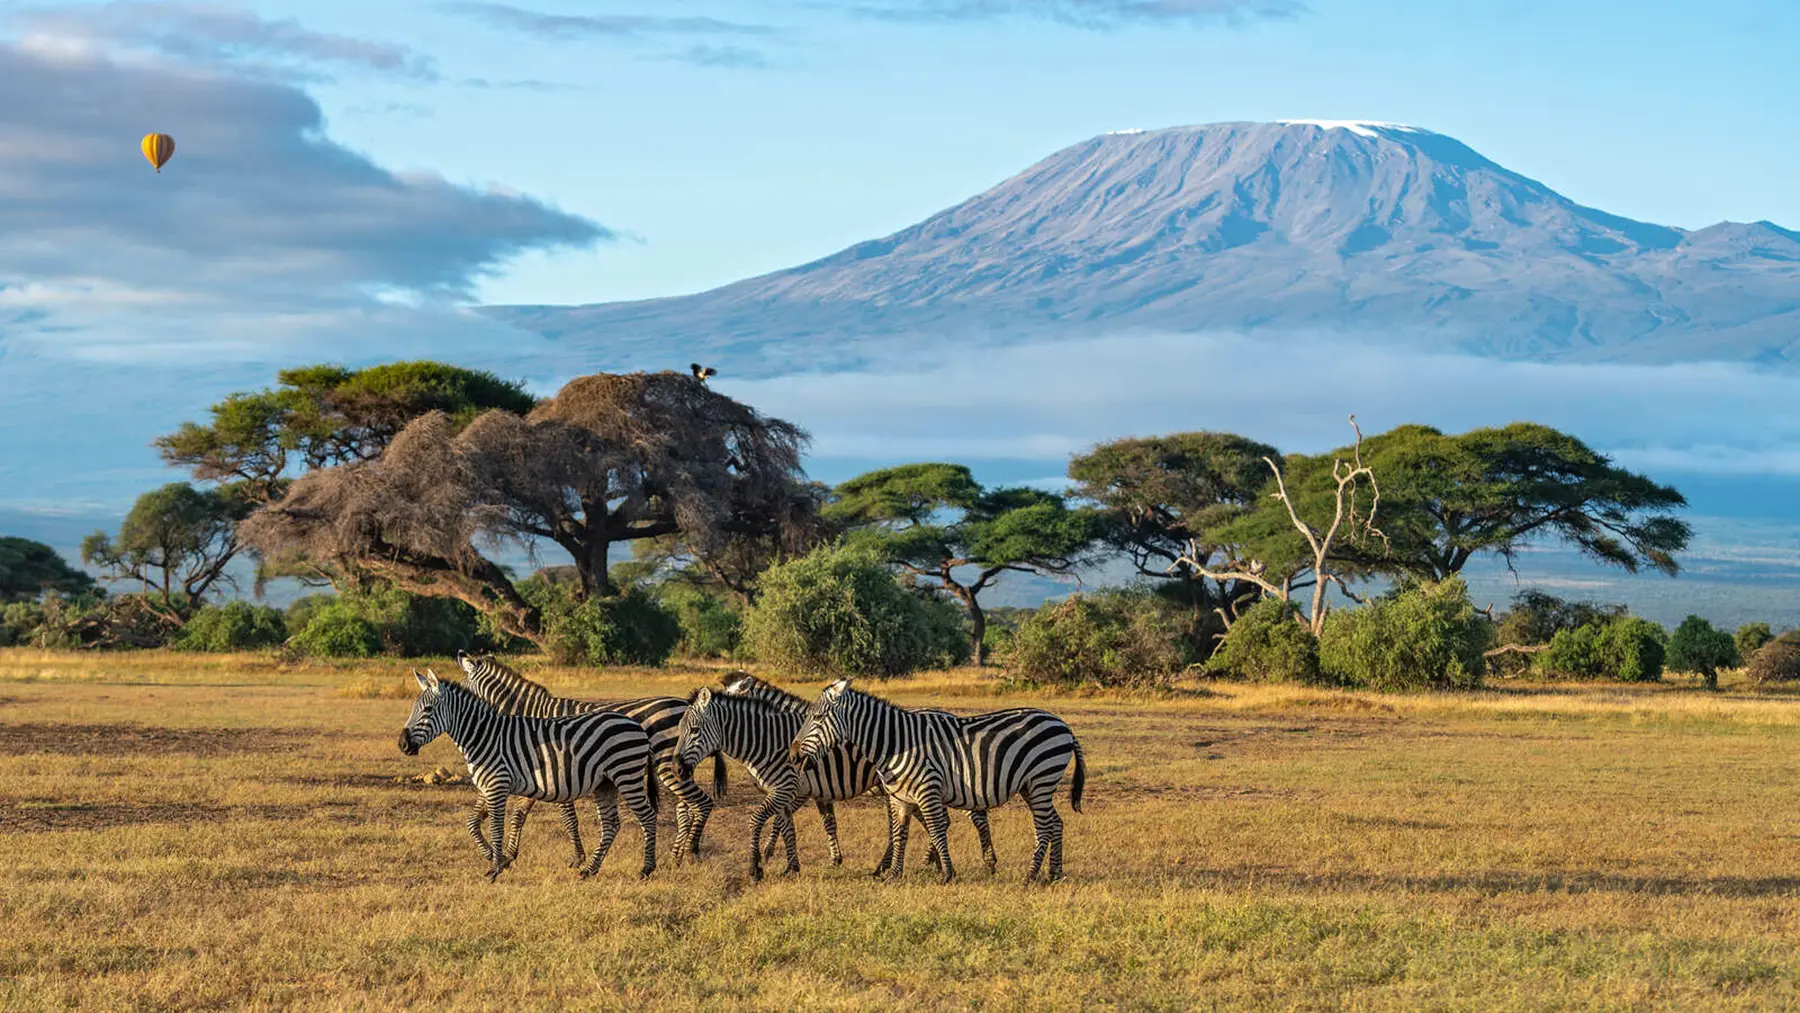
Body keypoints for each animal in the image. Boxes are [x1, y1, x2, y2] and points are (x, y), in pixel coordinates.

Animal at [397, 669, 659, 880]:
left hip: (626, 775)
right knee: (611, 824)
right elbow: (472, 823)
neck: (485, 736)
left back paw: (646, 869)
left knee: (647, 816)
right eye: (413, 709)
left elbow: (496, 827)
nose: (402, 744)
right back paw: (590, 870)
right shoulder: (487, 785)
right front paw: (495, 858)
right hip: (605, 783)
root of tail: (636, 725)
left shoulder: (497, 785)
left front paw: (495, 868)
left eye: (428, 710)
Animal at [454, 651, 722, 867]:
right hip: (675, 767)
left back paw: (688, 853)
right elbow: (508, 814)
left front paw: (578, 858)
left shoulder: (556, 772)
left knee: (699, 804)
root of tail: (685, 704)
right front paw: (503, 855)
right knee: (686, 809)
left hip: (667, 766)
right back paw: (676, 857)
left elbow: (568, 819)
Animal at [716, 671, 1000, 877]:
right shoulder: (819, 791)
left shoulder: (800, 789)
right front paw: (833, 859)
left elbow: (779, 821)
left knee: (976, 815)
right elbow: (827, 823)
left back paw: (987, 862)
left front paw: (768, 853)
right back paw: (925, 861)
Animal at [789, 677, 1085, 884]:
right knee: (1056, 823)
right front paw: (894, 875)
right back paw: (1054, 873)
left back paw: (1031, 876)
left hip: (1041, 779)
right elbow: (900, 834)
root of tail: (1063, 725)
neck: (896, 744)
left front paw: (947, 873)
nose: (792, 754)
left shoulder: (927, 790)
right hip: (1032, 786)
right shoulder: (900, 798)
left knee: (1044, 827)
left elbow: (936, 829)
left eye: (817, 717)